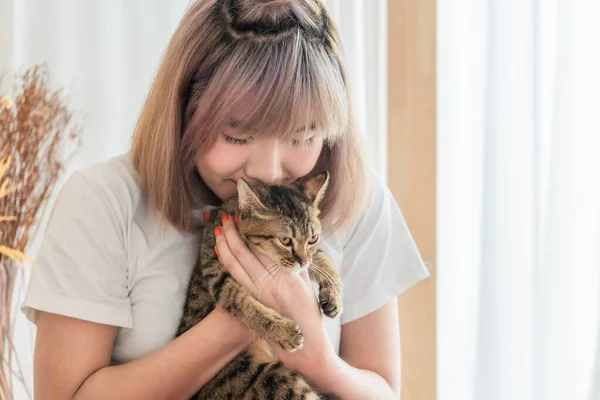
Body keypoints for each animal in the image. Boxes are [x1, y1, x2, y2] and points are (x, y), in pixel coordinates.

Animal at [177, 170, 342, 398]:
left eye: (313, 238)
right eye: (285, 240)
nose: (302, 262)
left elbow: (324, 260)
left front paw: (334, 296)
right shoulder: (218, 278)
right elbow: (245, 306)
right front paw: (281, 330)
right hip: (274, 379)